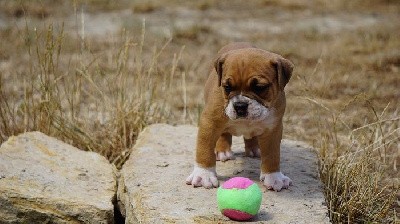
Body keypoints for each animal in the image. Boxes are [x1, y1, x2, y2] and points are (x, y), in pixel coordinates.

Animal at [185, 42, 294, 191]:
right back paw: (223, 152)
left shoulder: (273, 128)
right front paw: (203, 174)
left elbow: (272, 154)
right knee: (223, 134)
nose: (240, 105)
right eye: (227, 87)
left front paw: (274, 176)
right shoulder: (209, 122)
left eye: (260, 88)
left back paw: (254, 149)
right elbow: (204, 149)